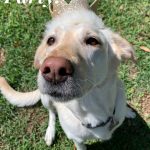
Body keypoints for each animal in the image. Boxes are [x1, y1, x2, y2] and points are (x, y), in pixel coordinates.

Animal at [0, 0, 136, 149]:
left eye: (92, 41)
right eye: (50, 40)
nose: (54, 69)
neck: (92, 108)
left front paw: (127, 111)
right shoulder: (77, 141)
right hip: (46, 99)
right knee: (51, 113)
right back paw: (50, 132)